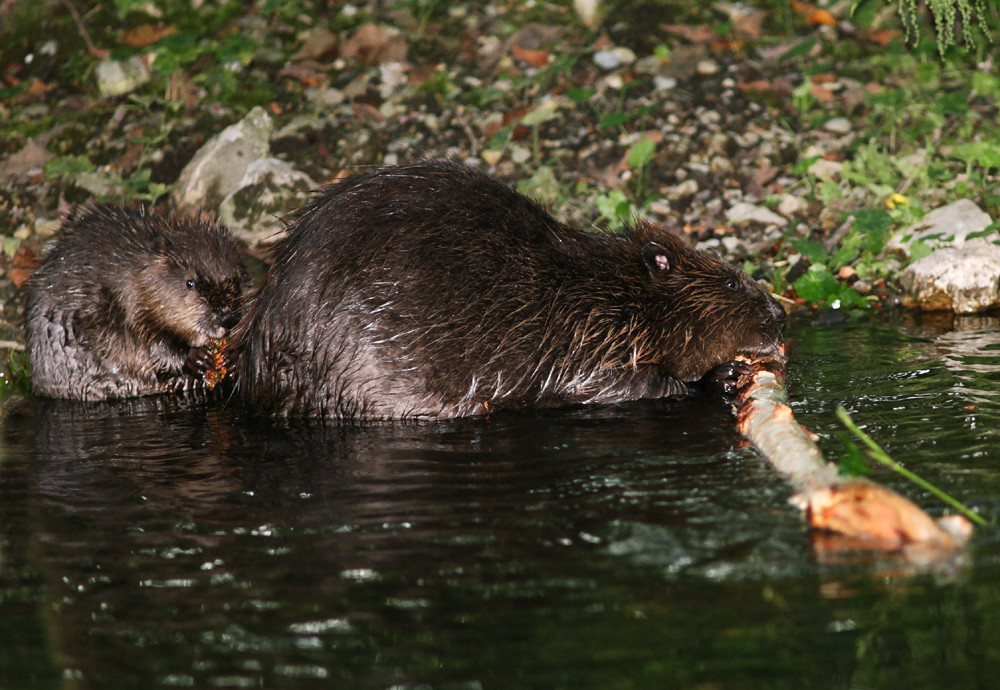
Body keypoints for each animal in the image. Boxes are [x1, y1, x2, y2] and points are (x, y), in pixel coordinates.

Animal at [25, 203, 248, 398]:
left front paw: (233, 357)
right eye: (190, 282)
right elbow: (140, 343)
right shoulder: (118, 301)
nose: (227, 318)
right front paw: (196, 358)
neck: (136, 271)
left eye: (237, 278)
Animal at [236, 160, 788, 420]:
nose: (782, 317)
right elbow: (621, 386)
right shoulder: (586, 341)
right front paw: (716, 377)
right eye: (730, 279)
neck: (604, 286)